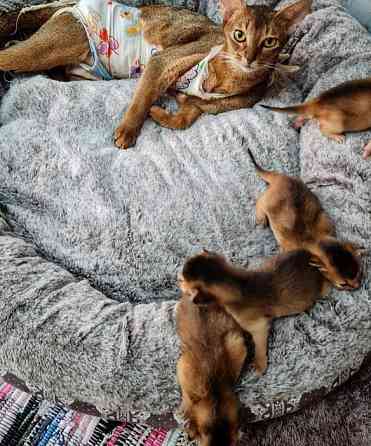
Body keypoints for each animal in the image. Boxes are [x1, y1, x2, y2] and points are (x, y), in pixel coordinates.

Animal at [0, 0, 310, 150]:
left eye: (269, 42)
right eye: (239, 35)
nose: (249, 58)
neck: (226, 79)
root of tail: (70, 5)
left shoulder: (197, 105)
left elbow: (183, 119)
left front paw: (159, 114)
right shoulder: (161, 62)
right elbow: (142, 98)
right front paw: (128, 130)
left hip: (86, 71)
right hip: (53, 46)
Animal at [180, 249, 332, 374]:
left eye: (183, 280)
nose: (178, 280)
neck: (238, 284)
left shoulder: (258, 326)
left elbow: (259, 343)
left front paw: (260, 364)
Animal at [247, 148, 364, 290]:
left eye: (360, 272)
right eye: (343, 284)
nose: (357, 286)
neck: (316, 240)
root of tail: (281, 178)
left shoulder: (327, 224)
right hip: (266, 200)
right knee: (259, 202)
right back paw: (261, 218)